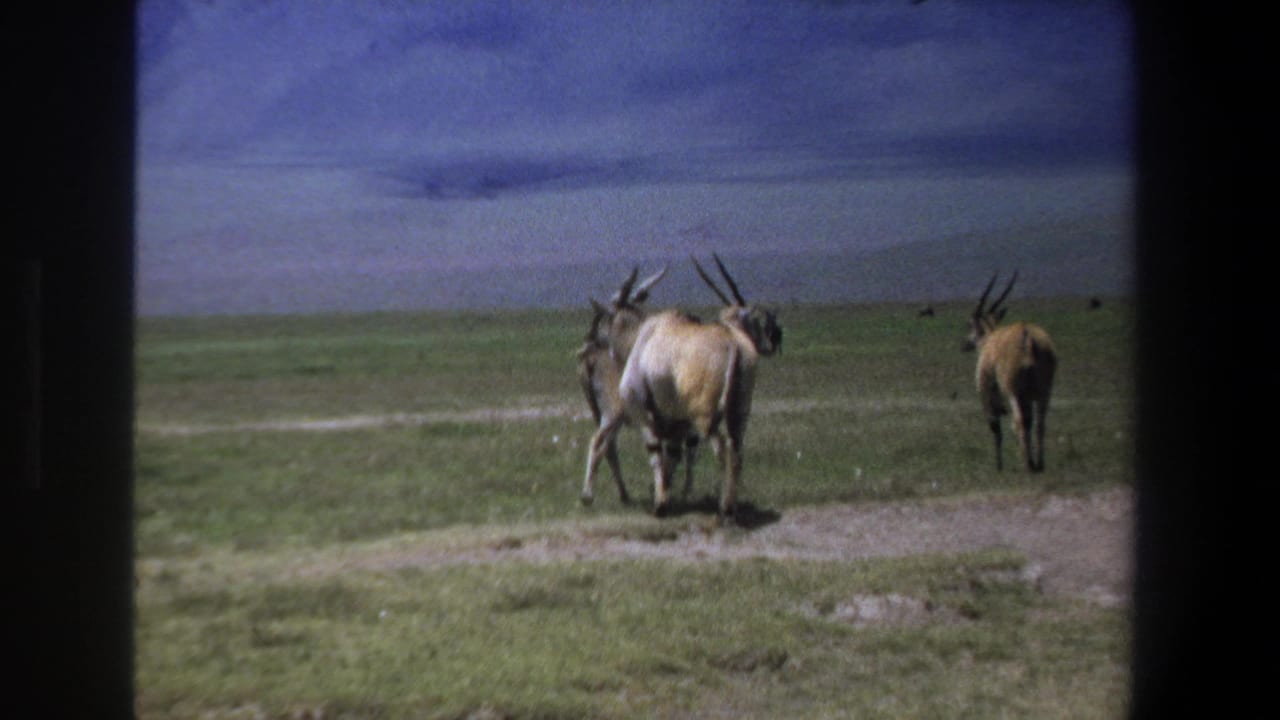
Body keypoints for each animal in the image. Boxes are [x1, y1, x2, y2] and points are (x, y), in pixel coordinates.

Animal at [583, 253, 782, 519]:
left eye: (604, 317)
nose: (591, 339)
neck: (642, 337)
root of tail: (733, 344)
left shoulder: (645, 414)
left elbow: (659, 454)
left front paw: (661, 504)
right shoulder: (677, 422)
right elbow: (673, 457)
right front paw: (672, 496)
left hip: (703, 417)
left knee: (723, 449)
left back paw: (725, 507)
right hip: (738, 414)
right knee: (736, 450)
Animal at [962, 271, 1057, 472]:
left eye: (971, 325)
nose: (965, 344)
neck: (990, 340)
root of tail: (1026, 335)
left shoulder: (987, 397)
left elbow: (996, 428)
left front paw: (999, 466)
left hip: (1013, 392)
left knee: (1019, 422)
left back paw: (1027, 464)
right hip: (1043, 393)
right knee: (1039, 423)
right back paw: (1039, 463)